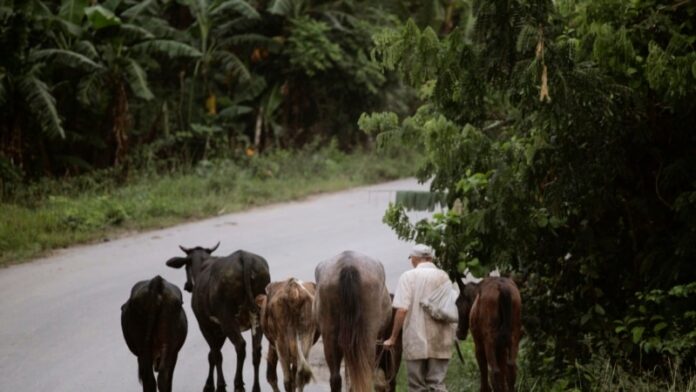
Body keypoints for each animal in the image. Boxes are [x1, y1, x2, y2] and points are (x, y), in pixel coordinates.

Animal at [164, 243, 270, 390]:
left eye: (186, 266)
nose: (187, 286)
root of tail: (244, 256)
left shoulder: (205, 325)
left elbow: (215, 354)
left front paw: (216, 384)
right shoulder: (220, 330)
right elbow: (213, 354)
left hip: (227, 319)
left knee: (240, 346)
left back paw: (238, 383)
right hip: (256, 316)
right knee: (256, 350)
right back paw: (255, 388)